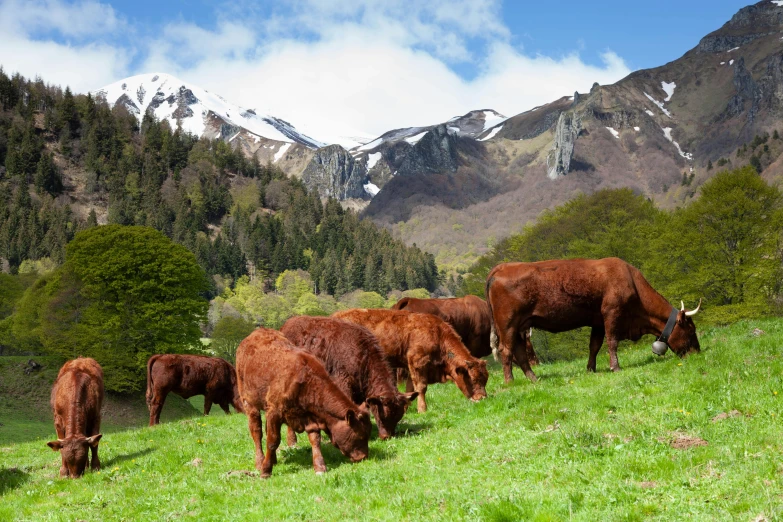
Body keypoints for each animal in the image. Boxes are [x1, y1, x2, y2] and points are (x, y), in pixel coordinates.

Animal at [234, 328, 372, 478]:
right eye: (360, 435)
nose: (363, 457)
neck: (306, 378)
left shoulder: (309, 416)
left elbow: (315, 439)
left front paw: (320, 466)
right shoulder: (275, 412)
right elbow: (272, 441)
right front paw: (265, 471)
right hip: (249, 403)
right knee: (257, 432)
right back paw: (260, 462)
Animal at [332, 308, 490, 410]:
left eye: (485, 379)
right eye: (473, 379)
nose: (482, 398)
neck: (437, 333)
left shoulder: (409, 366)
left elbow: (410, 388)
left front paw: (406, 408)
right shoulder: (417, 361)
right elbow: (421, 387)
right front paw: (422, 409)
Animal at [486, 256, 700, 382]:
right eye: (691, 330)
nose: (697, 353)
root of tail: (501, 267)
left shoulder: (598, 322)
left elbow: (594, 346)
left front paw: (591, 369)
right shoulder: (612, 313)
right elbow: (612, 342)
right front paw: (615, 367)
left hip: (519, 326)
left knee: (520, 352)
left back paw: (533, 378)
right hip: (507, 324)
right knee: (506, 351)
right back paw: (510, 381)